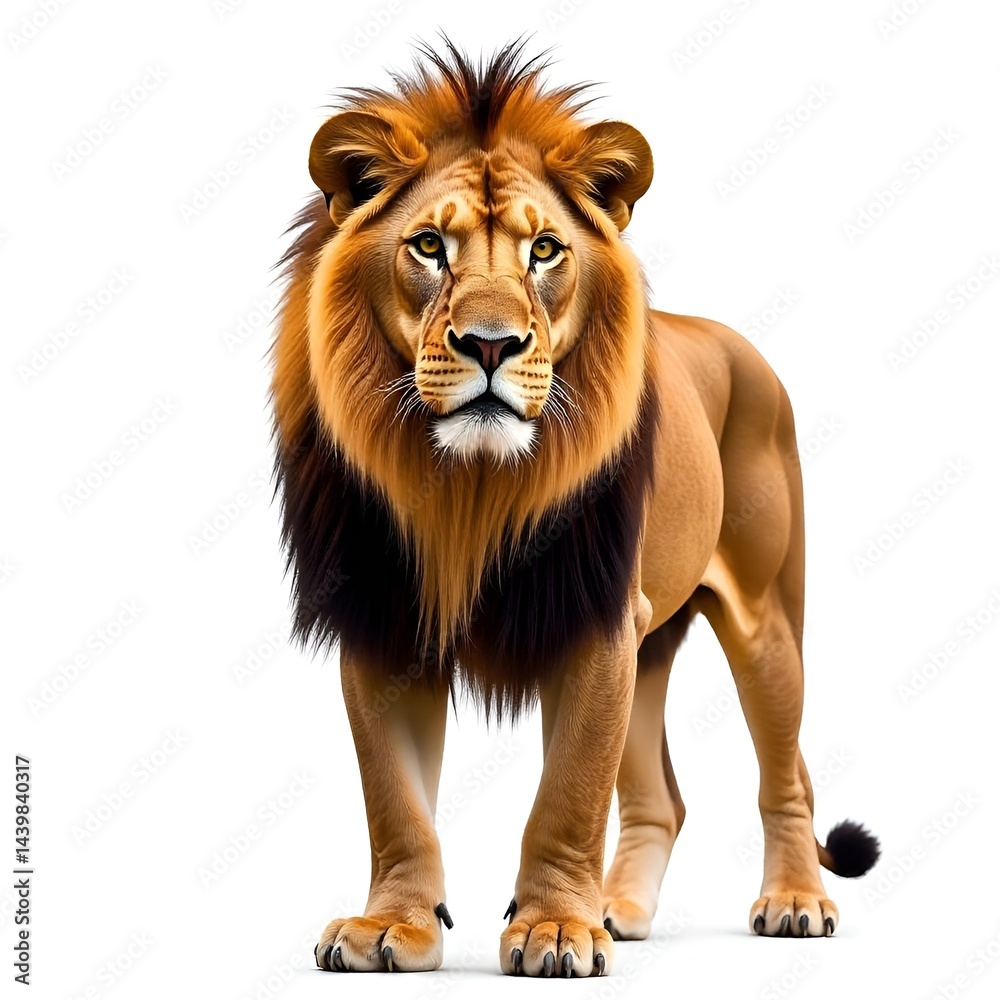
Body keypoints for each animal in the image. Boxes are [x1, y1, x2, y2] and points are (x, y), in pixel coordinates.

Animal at [270, 40, 880, 978]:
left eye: (546, 250)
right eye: (428, 246)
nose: (489, 345)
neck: (468, 490)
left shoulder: (596, 622)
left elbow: (569, 794)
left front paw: (556, 928)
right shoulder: (384, 616)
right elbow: (395, 799)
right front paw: (391, 925)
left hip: (767, 618)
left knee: (789, 776)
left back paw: (793, 902)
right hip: (652, 641)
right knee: (663, 796)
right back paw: (620, 909)